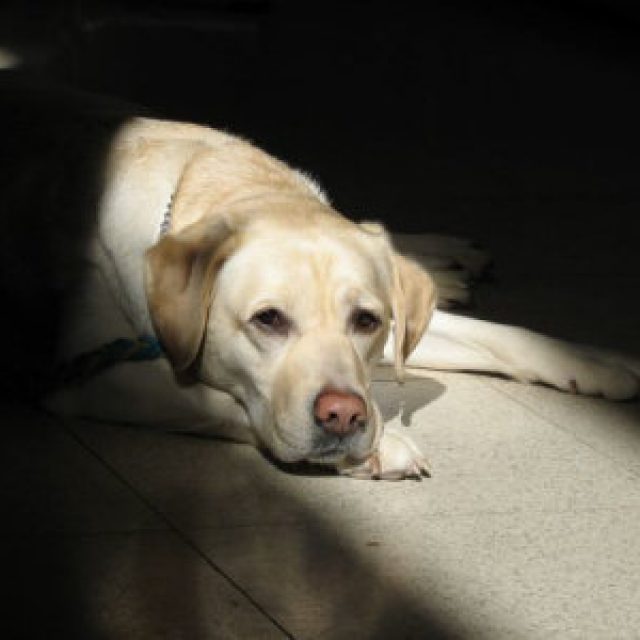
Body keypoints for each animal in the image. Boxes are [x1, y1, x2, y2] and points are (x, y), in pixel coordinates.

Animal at [2, 75, 639, 480]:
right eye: (267, 320)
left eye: (365, 321)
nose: (344, 415)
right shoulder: (89, 373)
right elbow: (218, 400)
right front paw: (380, 448)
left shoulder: (396, 320)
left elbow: (500, 335)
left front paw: (598, 362)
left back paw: (448, 259)